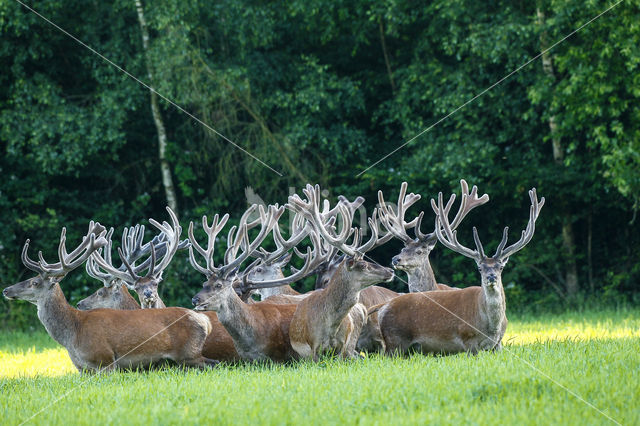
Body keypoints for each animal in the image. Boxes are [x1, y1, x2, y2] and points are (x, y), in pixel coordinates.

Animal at [1, 223, 218, 372]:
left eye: (34, 282)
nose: (6, 290)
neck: (73, 333)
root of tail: (204, 320)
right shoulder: (81, 369)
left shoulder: (104, 360)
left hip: (188, 353)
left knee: (212, 363)